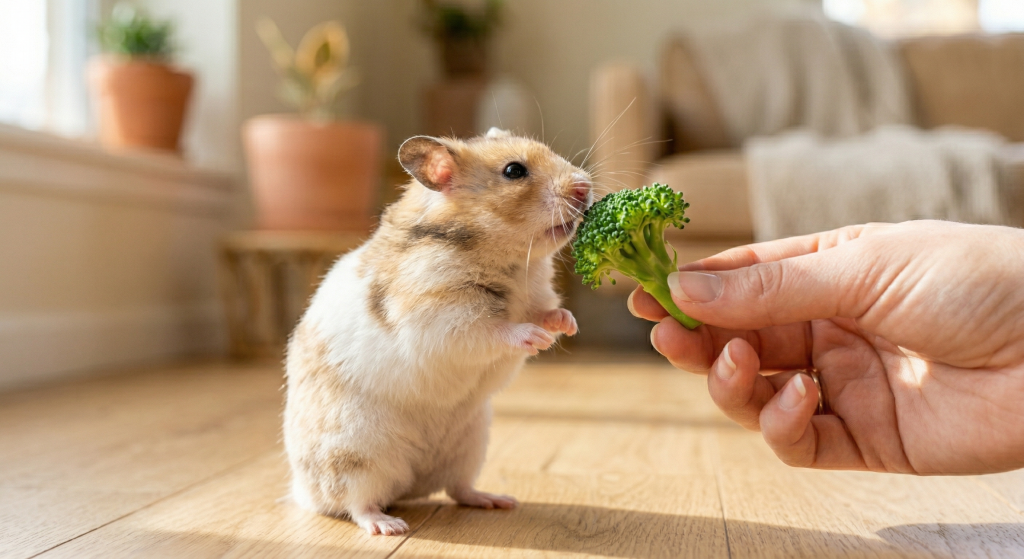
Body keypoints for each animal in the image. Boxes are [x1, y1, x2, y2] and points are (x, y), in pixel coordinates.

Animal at [283, 127, 593, 536]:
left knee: (458, 489)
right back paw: (389, 526)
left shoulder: (536, 297)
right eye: (514, 171)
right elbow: (495, 330)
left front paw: (567, 324)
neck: (509, 260)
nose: (586, 186)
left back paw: (498, 501)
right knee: (357, 503)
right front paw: (535, 339)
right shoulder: (441, 320)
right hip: (356, 458)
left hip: (470, 445)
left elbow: (546, 311)